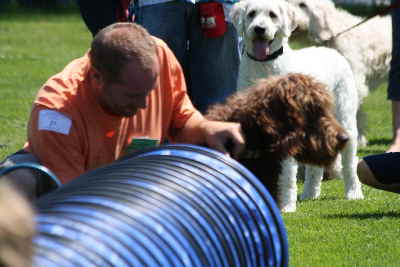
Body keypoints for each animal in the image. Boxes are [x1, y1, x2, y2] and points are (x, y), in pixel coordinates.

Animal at [230, 0, 364, 213]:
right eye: (251, 14)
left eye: (272, 15)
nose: (259, 29)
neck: (265, 66)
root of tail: (332, 51)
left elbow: (286, 175)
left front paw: (286, 206)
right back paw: (310, 193)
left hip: (345, 117)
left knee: (350, 161)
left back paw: (353, 193)